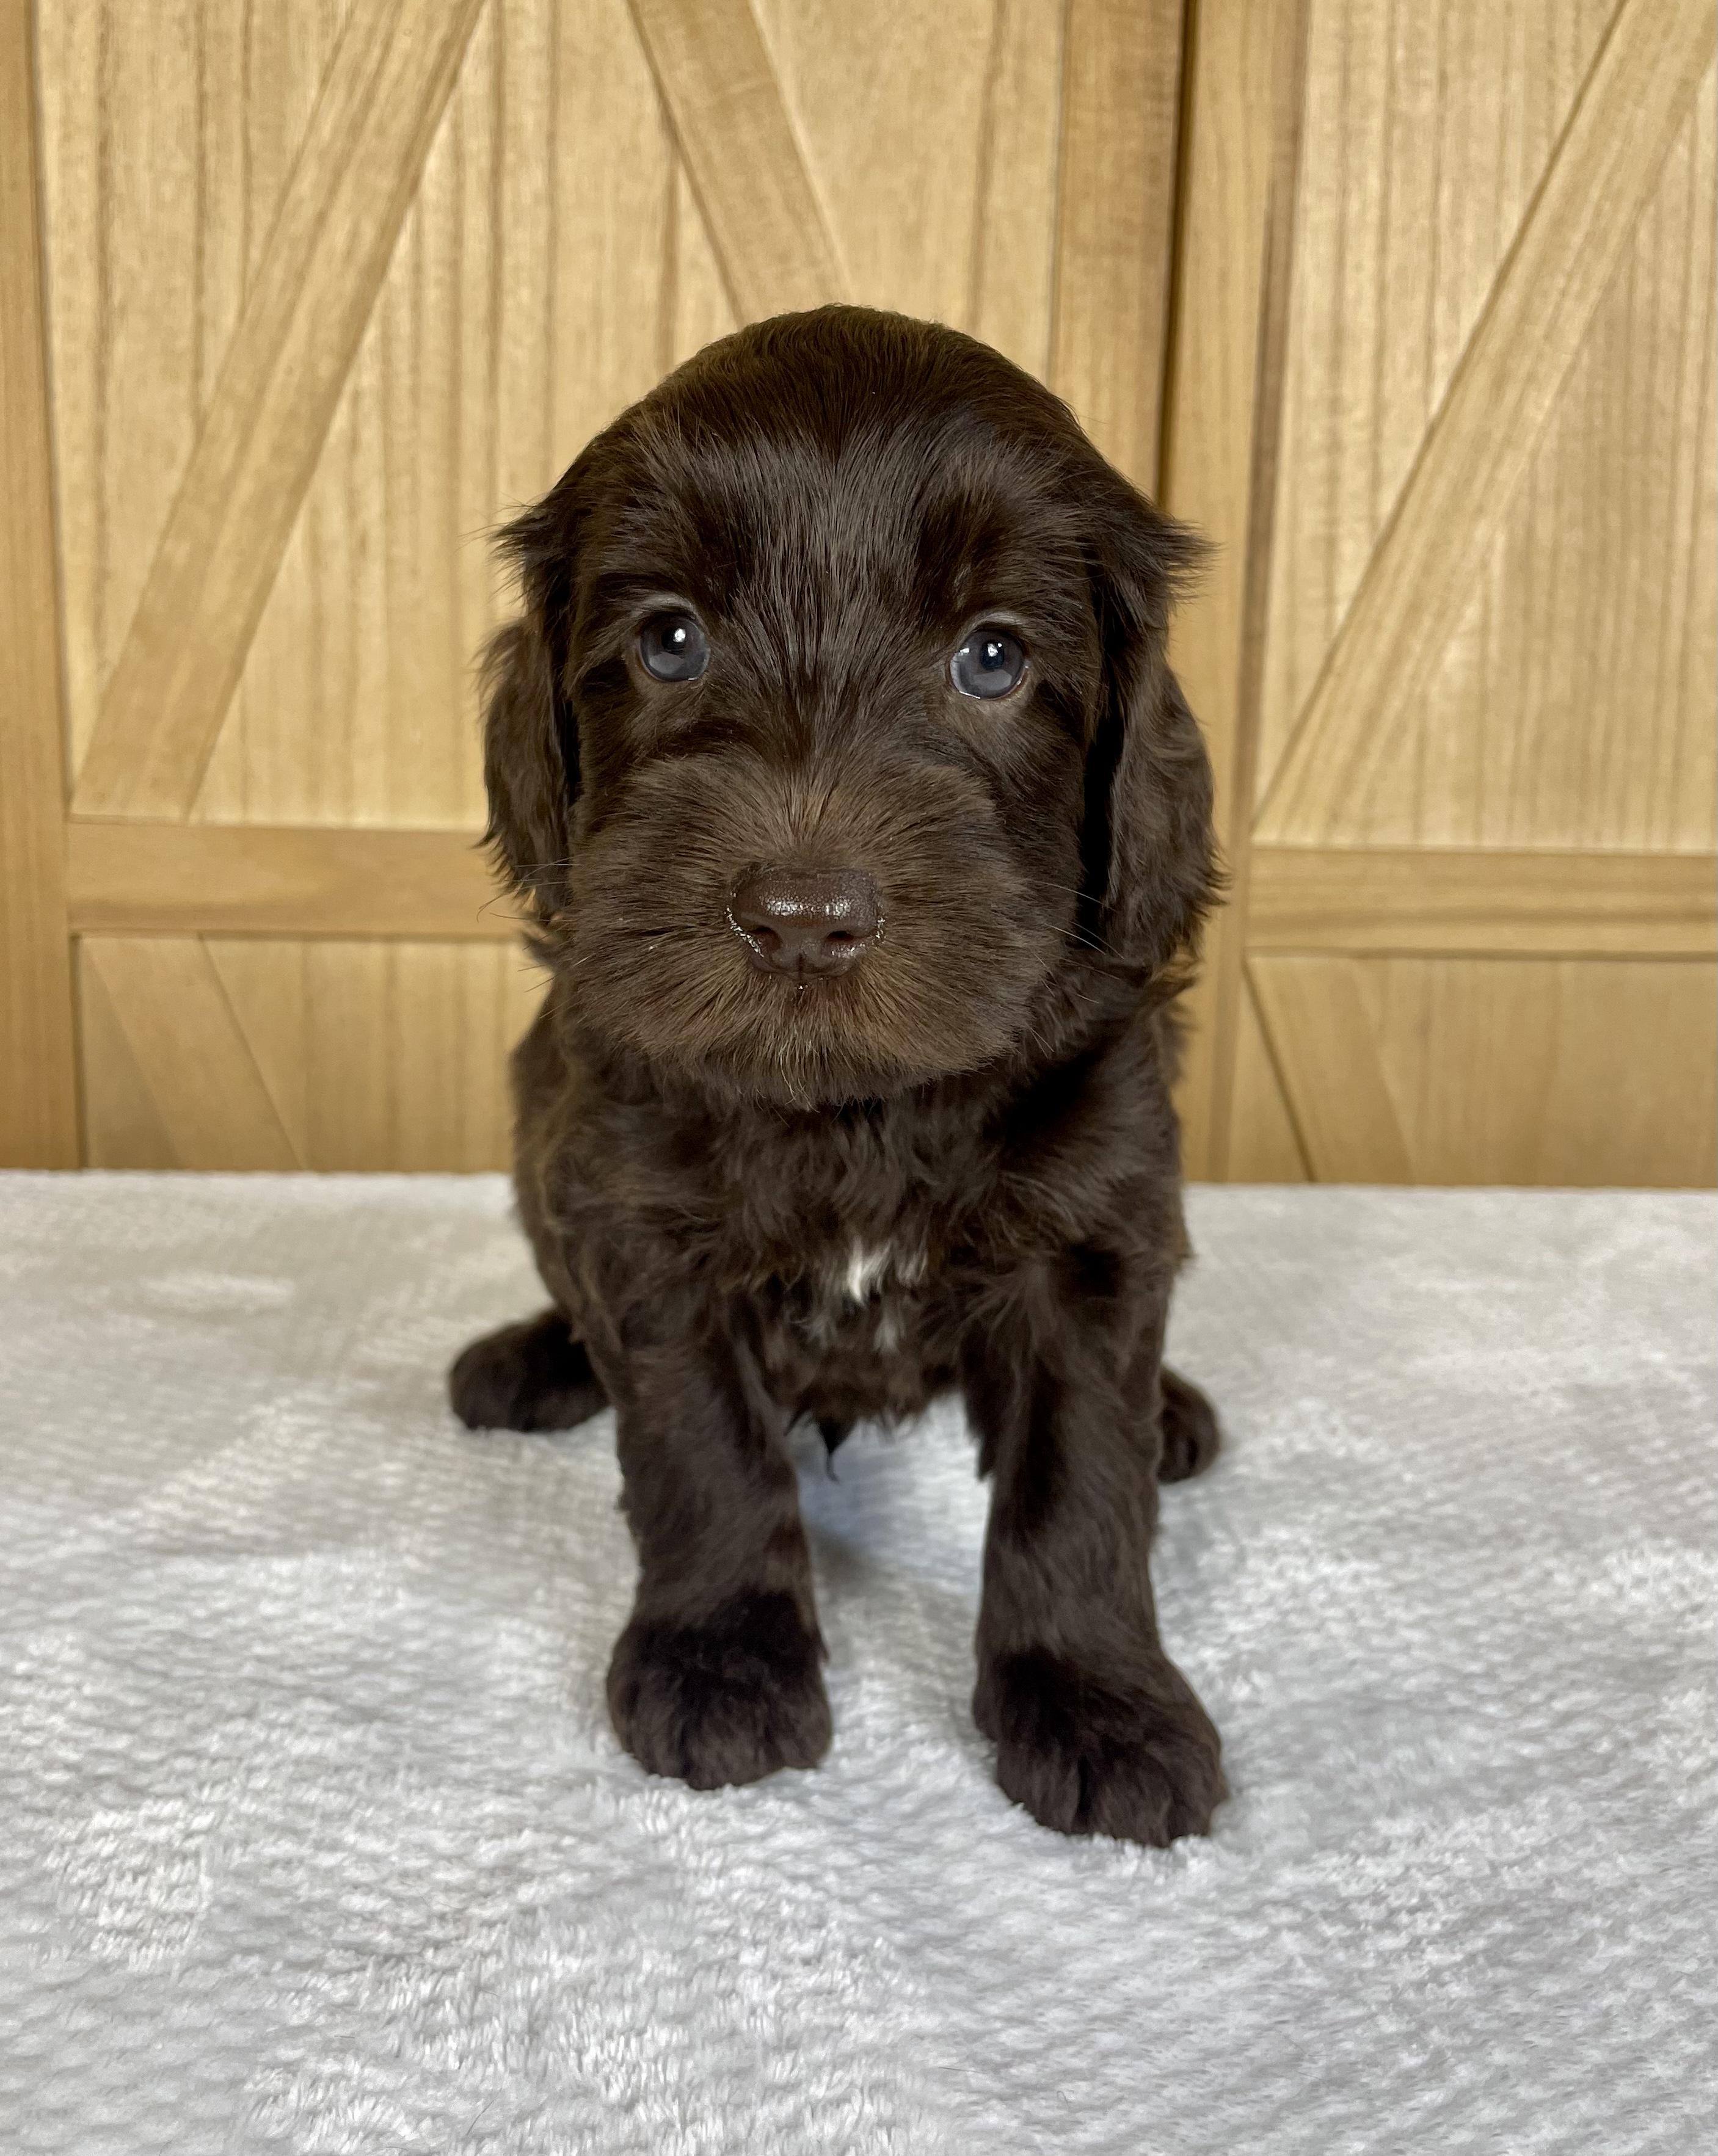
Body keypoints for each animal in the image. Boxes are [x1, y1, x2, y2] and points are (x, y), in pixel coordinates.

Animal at [449, 305, 1226, 1846]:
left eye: (990, 658)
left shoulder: (1093, 1222)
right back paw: (532, 1358)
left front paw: (1096, 1697)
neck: (856, 1105)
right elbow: (701, 1449)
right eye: (669, 638)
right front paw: (718, 1660)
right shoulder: (639, 1213)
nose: (801, 916)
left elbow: (1077, 1473)